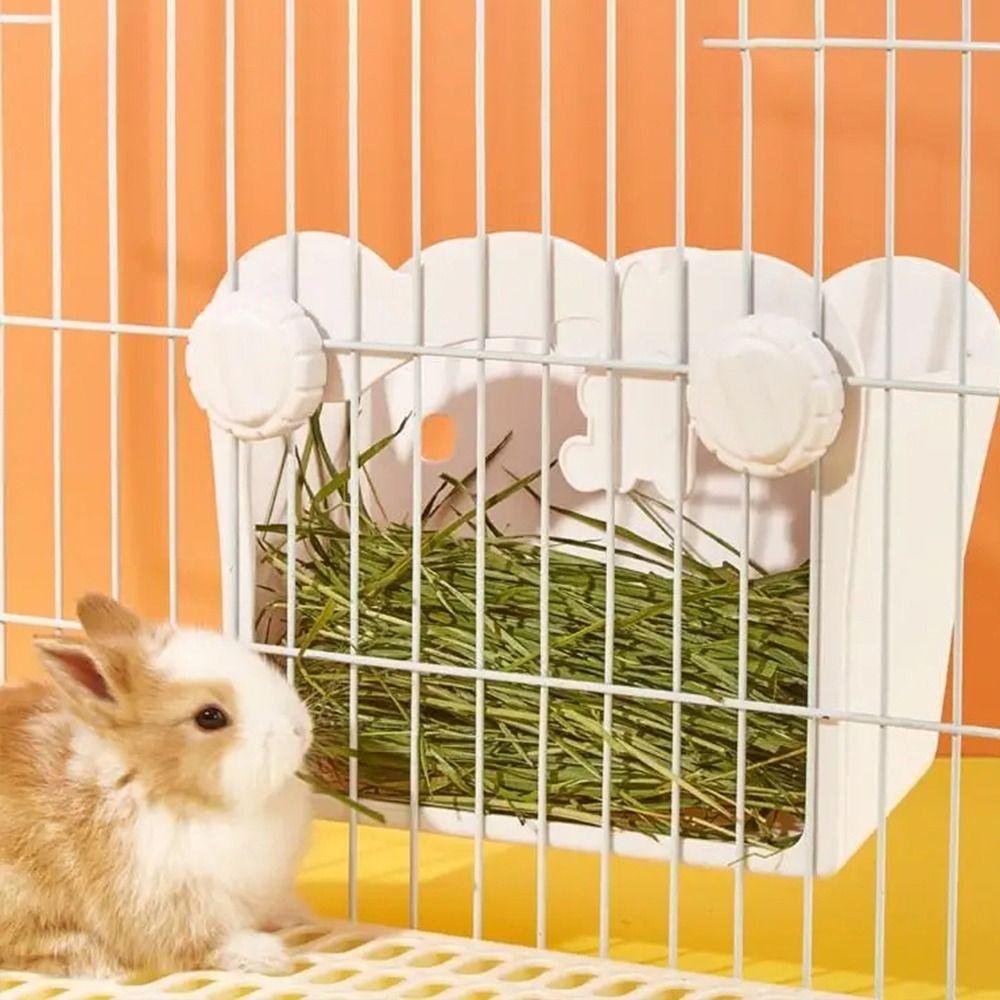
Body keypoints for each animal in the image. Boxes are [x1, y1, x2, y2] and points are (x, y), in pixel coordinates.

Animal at [0, 593, 315, 979]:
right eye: (210, 717)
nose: (300, 730)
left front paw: (296, 916)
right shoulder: (161, 902)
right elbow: (198, 944)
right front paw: (264, 956)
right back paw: (91, 960)